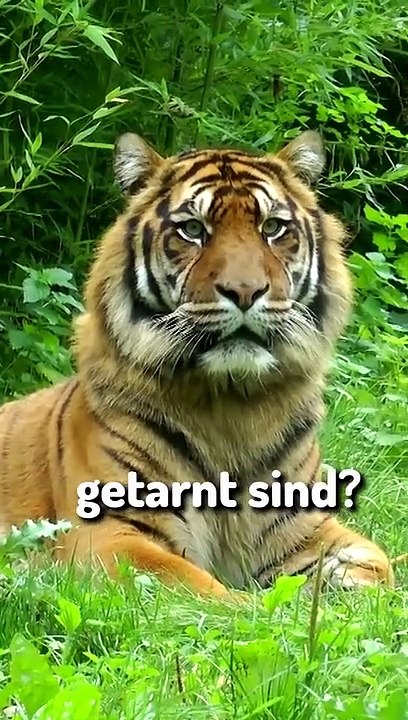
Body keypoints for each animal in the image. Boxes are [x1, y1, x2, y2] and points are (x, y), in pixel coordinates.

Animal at [0, 130, 393, 598]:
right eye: (192, 230)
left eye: (273, 228)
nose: (245, 291)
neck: (234, 406)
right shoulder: (109, 534)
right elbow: (206, 590)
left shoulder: (302, 526)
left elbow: (378, 566)